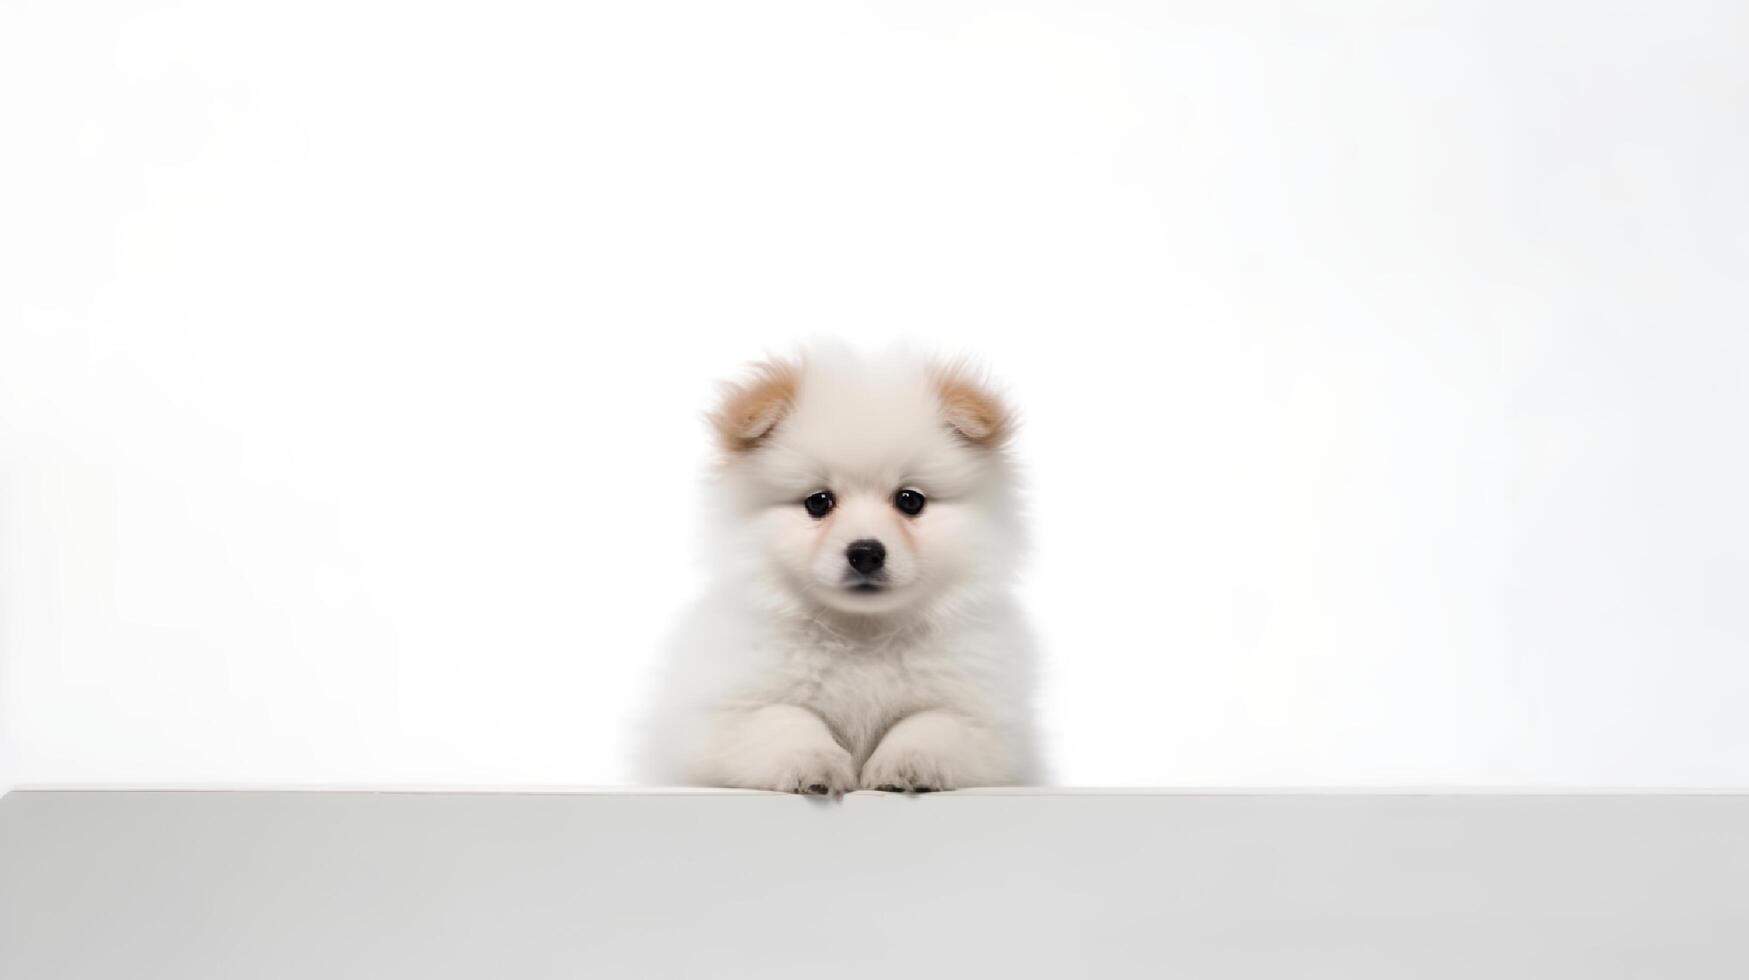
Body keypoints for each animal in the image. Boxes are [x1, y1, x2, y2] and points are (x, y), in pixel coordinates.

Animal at [650, 348, 1042, 791]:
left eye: (910, 500)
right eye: (819, 502)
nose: (866, 552)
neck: (862, 634)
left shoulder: (990, 724)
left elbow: (932, 721)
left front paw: (907, 764)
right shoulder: (720, 718)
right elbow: (783, 717)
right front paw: (813, 762)